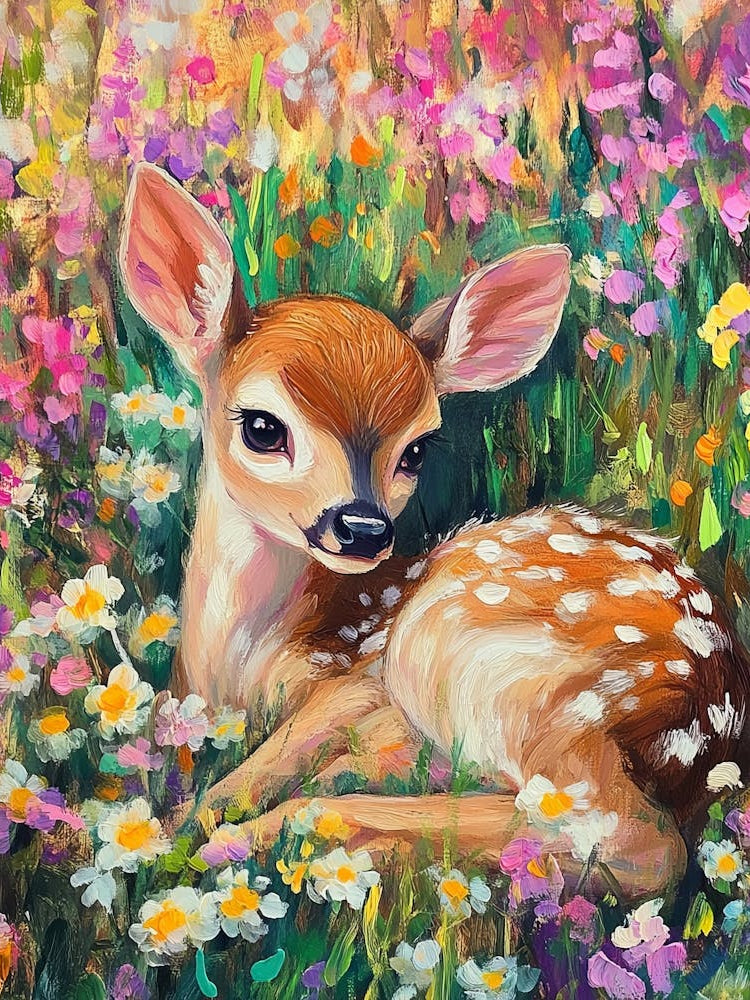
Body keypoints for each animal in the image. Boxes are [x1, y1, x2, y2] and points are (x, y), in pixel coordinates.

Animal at [118, 162, 750, 899]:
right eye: (263, 428)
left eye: (417, 450)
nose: (363, 529)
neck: (236, 668)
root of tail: (708, 715)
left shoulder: (361, 675)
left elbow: (279, 757)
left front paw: (177, 834)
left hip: (488, 666)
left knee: (635, 842)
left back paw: (278, 837)